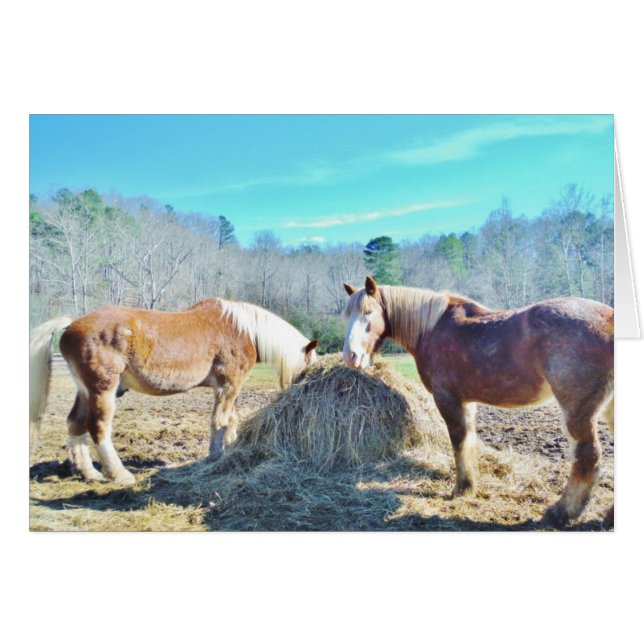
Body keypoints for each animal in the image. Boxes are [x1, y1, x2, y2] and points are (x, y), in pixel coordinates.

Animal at [30, 298, 318, 485]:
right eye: (309, 363)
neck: (242, 329)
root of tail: (72, 324)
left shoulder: (230, 388)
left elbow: (231, 419)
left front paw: (230, 446)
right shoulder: (228, 385)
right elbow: (220, 420)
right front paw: (216, 455)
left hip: (85, 392)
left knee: (75, 424)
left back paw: (89, 473)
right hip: (103, 391)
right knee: (98, 428)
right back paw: (119, 475)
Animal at [342, 276, 614, 528]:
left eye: (368, 312)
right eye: (347, 315)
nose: (350, 356)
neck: (431, 328)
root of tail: (610, 318)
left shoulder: (447, 398)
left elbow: (458, 442)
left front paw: (461, 488)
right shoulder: (466, 402)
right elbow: (469, 439)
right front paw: (470, 484)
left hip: (577, 409)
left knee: (587, 456)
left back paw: (561, 512)